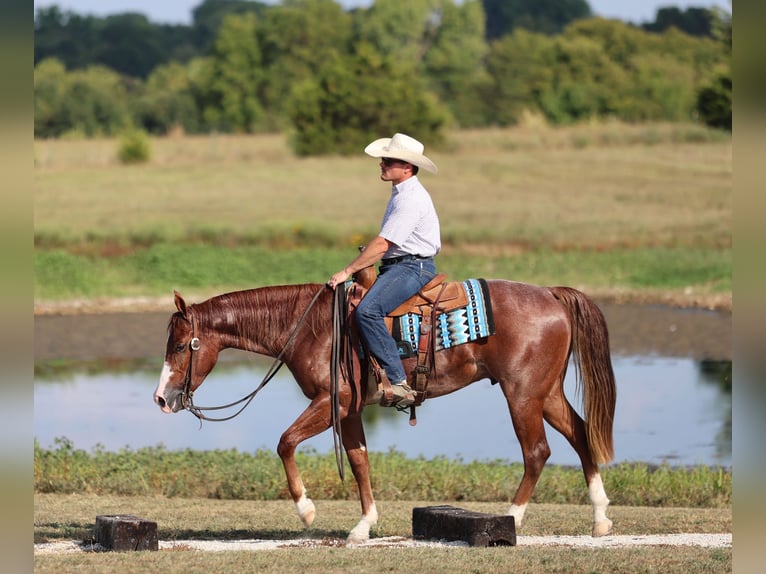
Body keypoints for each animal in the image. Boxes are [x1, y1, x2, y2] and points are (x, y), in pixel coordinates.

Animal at [153, 277, 617, 544]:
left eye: (178, 345)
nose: (161, 398)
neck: (309, 326)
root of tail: (552, 295)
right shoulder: (349, 410)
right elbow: (359, 460)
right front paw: (363, 526)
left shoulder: (332, 401)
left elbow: (285, 443)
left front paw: (306, 510)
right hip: (546, 393)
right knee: (580, 434)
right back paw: (600, 518)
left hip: (521, 394)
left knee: (537, 452)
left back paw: (512, 520)